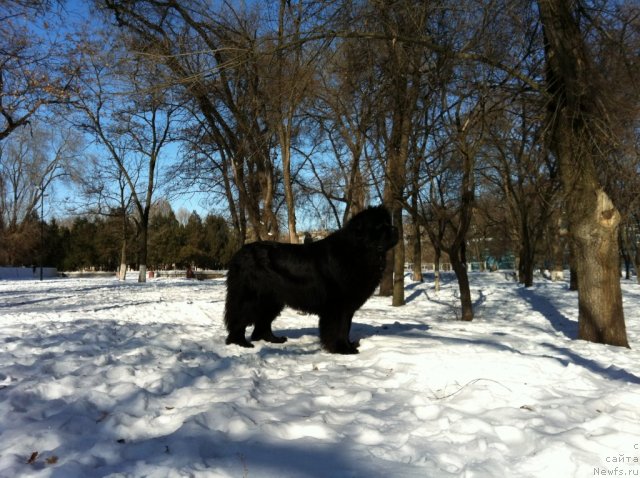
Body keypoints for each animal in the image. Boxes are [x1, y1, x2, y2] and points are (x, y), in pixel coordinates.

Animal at [222, 205, 398, 354]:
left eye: (388, 223)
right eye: (380, 226)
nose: (396, 229)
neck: (357, 251)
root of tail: (239, 253)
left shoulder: (347, 307)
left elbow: (346, 327)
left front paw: (349, 345)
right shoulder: (337, 305)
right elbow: (339, 328)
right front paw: (342, 349)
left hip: (271, 300)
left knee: (262, 323)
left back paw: (273, 340)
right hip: (250, 297)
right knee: (239, 319)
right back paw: (240, 343)